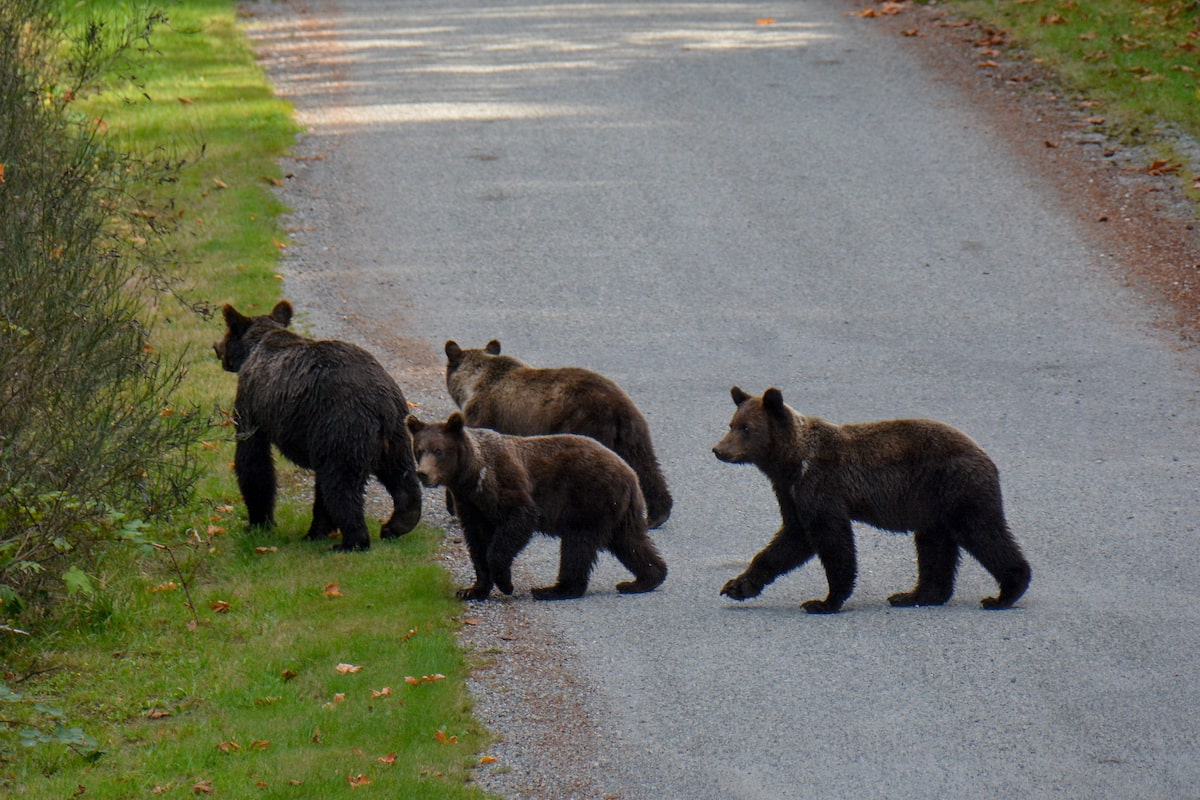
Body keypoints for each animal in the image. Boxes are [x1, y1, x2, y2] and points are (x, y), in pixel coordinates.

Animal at [214, 300, 422, 551]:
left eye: (227, 333)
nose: (216, 347)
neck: (254, 349)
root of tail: (379, 404)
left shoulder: (251, 402)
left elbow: (253, 460)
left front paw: (259, 521)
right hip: (395, 434)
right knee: (401, 476)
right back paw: (397, 524)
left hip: (341, 426)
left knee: (341, 486)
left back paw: (351, 542)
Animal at [405, 411, 667, 600]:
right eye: (419, 450)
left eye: (438, 450)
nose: (423, 474)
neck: (470, 477)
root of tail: (628, 471)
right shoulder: (470, 505)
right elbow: (476, 542)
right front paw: (472, 590)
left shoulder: (504, 484)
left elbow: (517, 521)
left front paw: (505, 582)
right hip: (618, 509)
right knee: (630, 541)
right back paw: (644, 579)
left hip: (589, 499)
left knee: (577, 544)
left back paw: (554, 589)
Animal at [443, 339, 673, 528]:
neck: (475, 382)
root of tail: (616, 406)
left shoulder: (484, 415)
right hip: (633, 431)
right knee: (646, 465)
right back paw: (657, 514)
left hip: (585, 425)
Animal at [712, 386, 1030, 613]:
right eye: (731, 424)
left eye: (746, 428)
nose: (718, 449)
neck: (792, 462)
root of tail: (986, 456)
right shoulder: (789, 493)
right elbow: (791, 538)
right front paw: (738, 585)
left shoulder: (821, 485)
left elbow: (830, 539)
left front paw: (824, 601)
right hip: (931, 506)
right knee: (935, 545)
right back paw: (915, 594)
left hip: (957, 488)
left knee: (983, 533)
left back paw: (1005, 592)